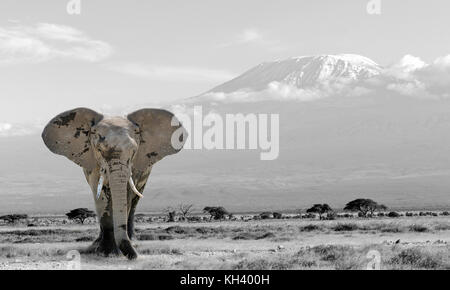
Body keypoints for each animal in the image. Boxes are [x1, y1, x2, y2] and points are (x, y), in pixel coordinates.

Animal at [41, 107, 186, 260]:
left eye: (134, 151)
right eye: (99, 150)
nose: (135, 257)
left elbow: (127, 193)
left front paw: (116, 251)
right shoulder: (93, 163)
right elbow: (99, 194)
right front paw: (104, 252)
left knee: (134, 203)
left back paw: (133, 241)